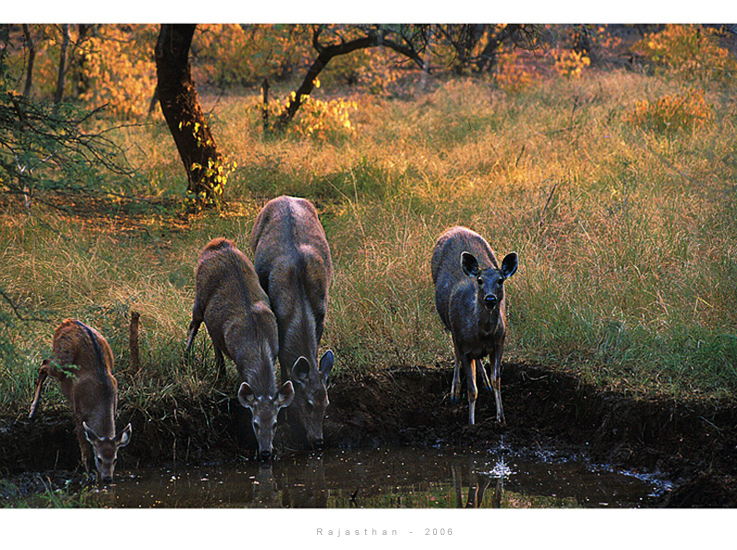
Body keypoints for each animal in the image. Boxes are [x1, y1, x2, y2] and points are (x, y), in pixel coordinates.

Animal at [28, 322, 133, 486]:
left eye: (115, 459)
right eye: (99, 459)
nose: (108, 478)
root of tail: (66, 322)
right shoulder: (78, 412)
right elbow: (84, 448)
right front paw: (88, 474)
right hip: (60, 359)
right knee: (44, 363)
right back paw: (32, 410)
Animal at [184, 238, 294, 462]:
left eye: (275, 424)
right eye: (255, 423)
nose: (265, 452)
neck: (259, 344)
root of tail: (217, 243)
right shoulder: (239, 361)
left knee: (214, 341)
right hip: (199, 296)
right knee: (194, 325)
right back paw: (186, 357)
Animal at [432, 226, 516, 430]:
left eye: (500, 280)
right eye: (479, 280)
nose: (490, 298)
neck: (483, 334)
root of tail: (455, 228)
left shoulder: (500, 343)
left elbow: (497, 380)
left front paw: (501, 418)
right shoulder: (463, 346)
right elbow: (471, 389)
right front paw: (471, 424)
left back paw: (484, 382)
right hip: (449, 325)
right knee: (455, 350)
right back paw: (454, 392)